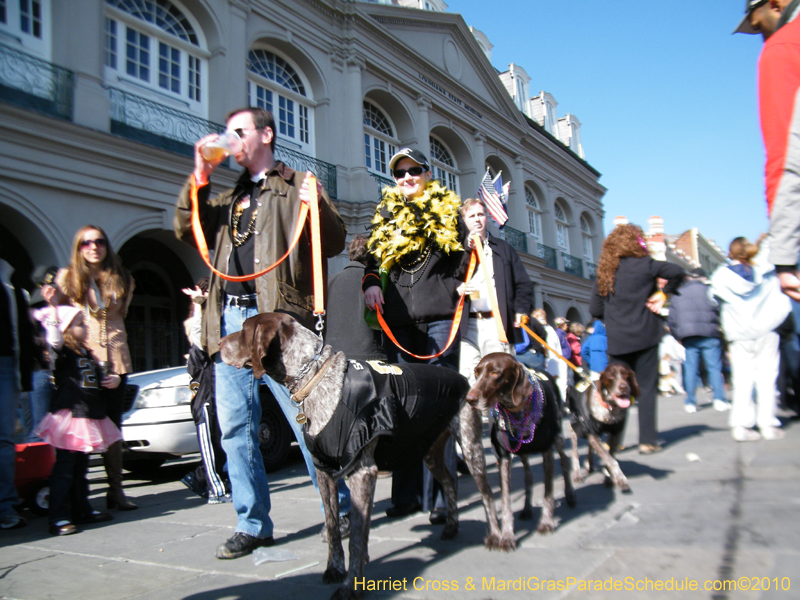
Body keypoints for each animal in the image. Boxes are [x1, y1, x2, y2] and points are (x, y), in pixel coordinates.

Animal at [219, 314, 506, 600]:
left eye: (243, 331)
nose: (218, 344)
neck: (316, 376)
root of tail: (464, 380)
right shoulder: (324, 471)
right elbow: (334, 527)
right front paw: (335, 569)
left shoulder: (361, 471)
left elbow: (356, 536)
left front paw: (351, 585)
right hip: (429, 451)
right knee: (449, 483)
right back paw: (451, 527)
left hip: (470, 447)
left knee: (487, 495)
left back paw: (497, 537)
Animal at [468, 352, 576, 552]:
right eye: (476, 372)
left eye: (495, 373)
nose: (470, 398)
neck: (516, 409)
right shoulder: (504, 457)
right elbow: (505, 502)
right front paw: (507, 536)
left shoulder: (547, 451)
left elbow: (548, 493)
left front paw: (547, 523)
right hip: (523, 452)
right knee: (529, 476)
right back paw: (526, 508)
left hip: (557, 438)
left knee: (565, 463)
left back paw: (570, 495)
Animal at [568, 360, 636, 492]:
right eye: (611, 377)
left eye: (626, 375)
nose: (624, 387)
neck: (610, 408)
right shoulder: (592, 433)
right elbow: (611, 460)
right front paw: (621, 479)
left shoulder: (614, 434)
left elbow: (610, 457)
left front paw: (610, 478)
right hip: (576, 429)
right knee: (575, 453)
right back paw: (578, 474)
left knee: (590, 449)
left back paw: (590, 465)